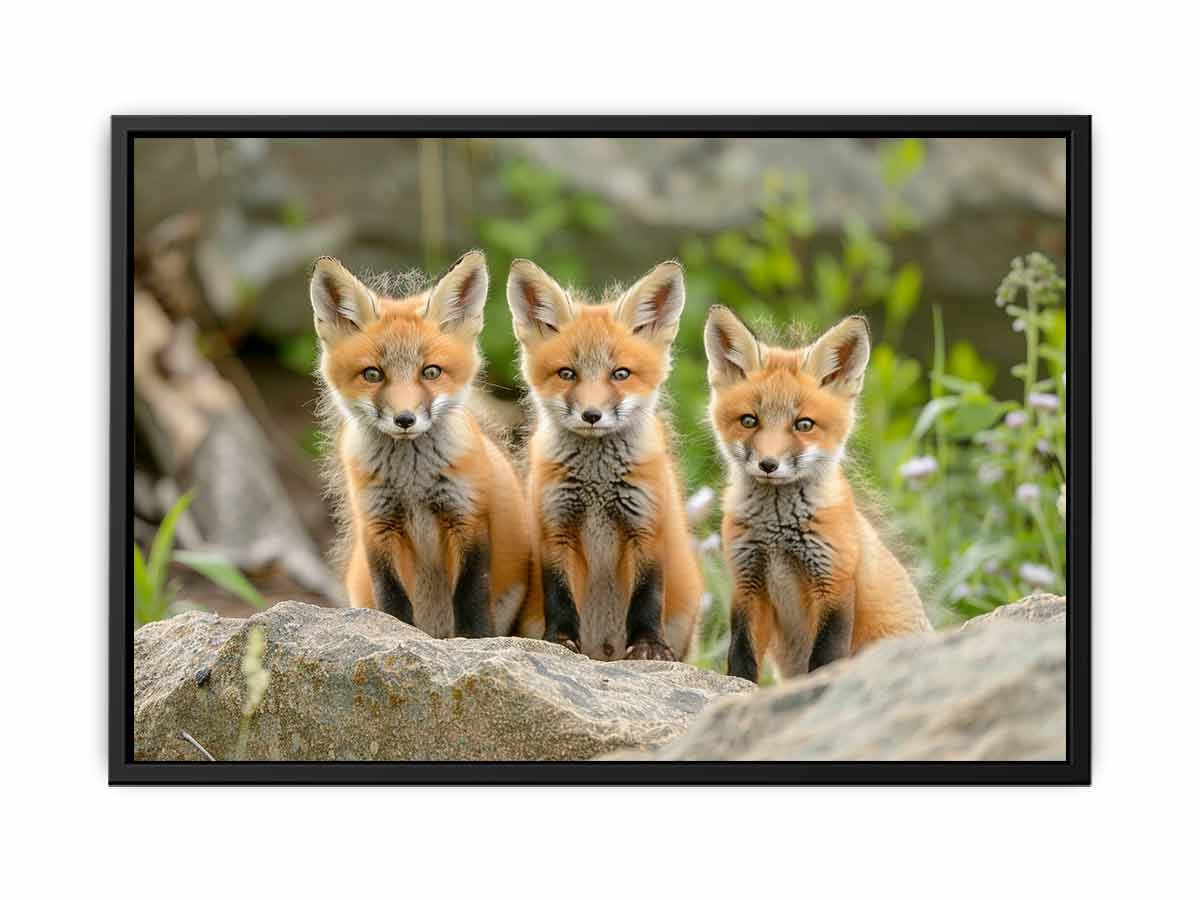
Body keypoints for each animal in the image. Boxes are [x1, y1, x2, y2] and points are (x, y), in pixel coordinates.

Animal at [310, 250, 531, 638]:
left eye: (431, 372)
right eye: (373, 374)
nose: (404, 420)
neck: (411, 481)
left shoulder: (467, 517)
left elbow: (471, 597)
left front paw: (474, 640)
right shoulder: (377, 525)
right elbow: (391, 599)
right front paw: (393, 633)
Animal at [507, 258, 702, 662]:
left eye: (621, 374)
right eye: (567, 373)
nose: (592, 415)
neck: (596, 483)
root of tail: (603, 653)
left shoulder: (646, 527)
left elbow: (647, 597)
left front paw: (648, 647)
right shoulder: (555, 527)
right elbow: (559, 595)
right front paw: (558, 641)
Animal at [703, 305, 931, 683]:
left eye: (804, 425)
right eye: (749, 420)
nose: (768, 464)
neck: (777, 536)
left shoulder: (834, 583)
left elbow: (826, 658)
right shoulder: (747, 582)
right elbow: (742, 653)